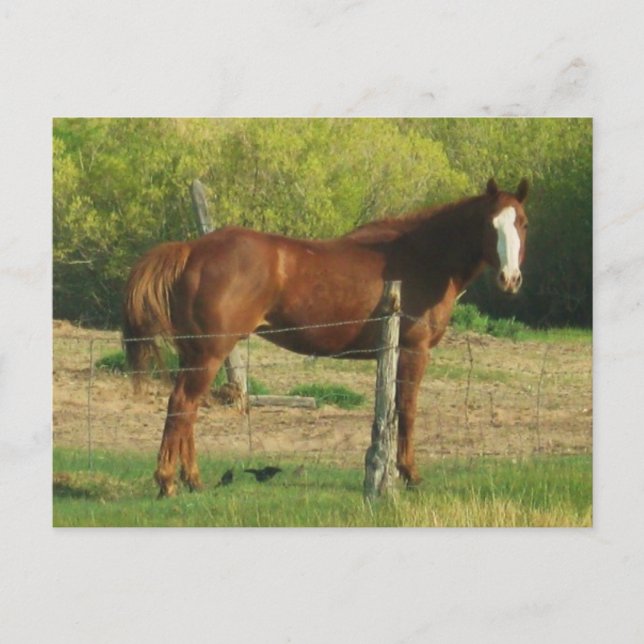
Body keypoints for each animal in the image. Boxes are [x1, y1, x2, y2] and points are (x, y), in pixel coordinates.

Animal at [123, 178, 529, 497]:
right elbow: (407, 409)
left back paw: (192, 480)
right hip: (209, 353)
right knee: (181, 404)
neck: (422, 256)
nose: (510, 279)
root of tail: (192, 250)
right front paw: (410, 474)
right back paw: (167, 482)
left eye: (522, 223)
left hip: (197, 353)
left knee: (187, 410)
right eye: (489, 224)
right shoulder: (413, 351)